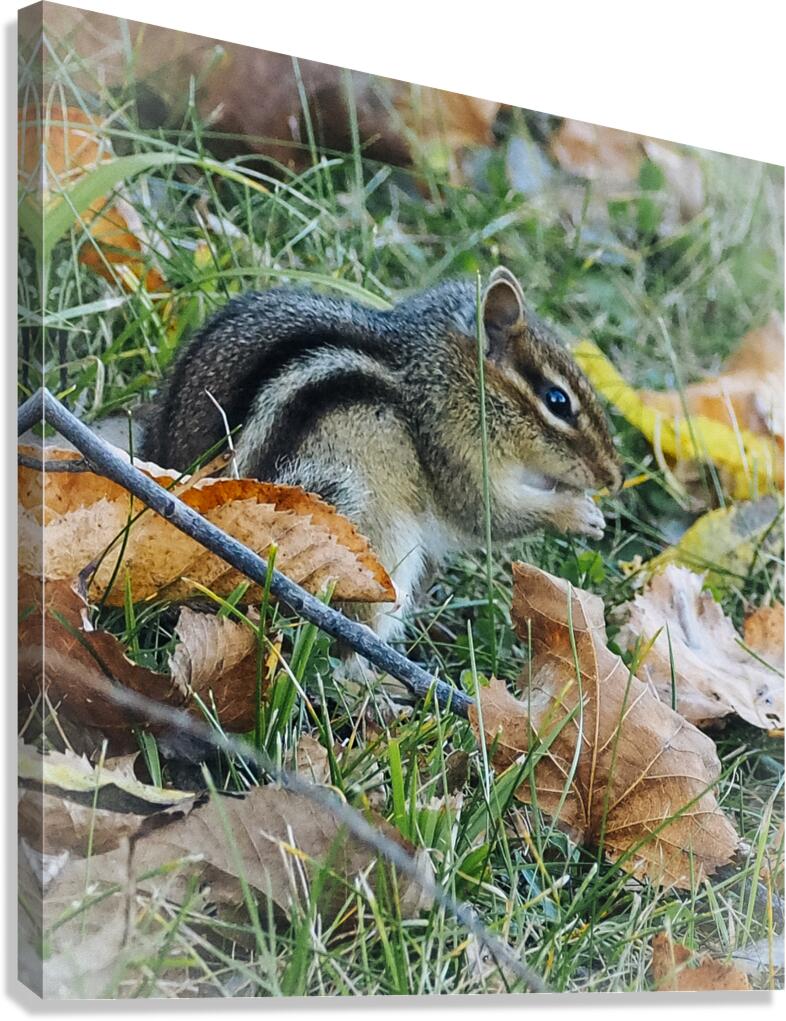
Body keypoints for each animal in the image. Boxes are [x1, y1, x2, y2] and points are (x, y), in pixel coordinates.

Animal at [141, 267, 623, 647]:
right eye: (558, 401)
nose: (613, 477)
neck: (443, 376)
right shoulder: (454, 452)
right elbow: (488, 516)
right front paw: (576, 513)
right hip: (375, 547)